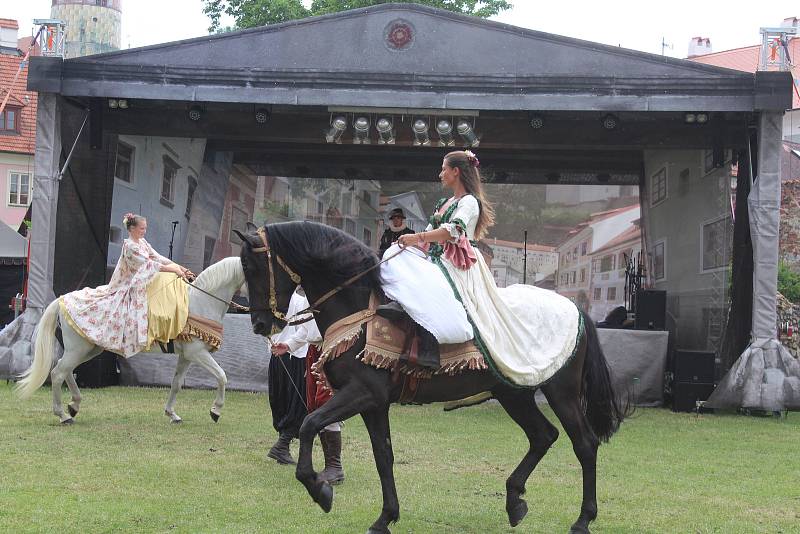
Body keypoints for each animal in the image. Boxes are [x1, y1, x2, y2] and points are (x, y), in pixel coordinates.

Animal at [16, 258, 247, 426]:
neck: (201, 302)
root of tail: (62, 299)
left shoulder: (186, 356)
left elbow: (176, 384)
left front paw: (172, 414)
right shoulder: (197, 353)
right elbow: (222, 376)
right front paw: (215, 411)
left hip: (88, 349)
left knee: (66, 371)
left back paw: (74, 406)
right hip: (78, 349)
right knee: (58, 373)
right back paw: (63, 415)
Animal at [234, 222, 628, 534]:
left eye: (251, 266)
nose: (259, 324)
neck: (359, 306)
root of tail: (575, 308)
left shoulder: (361, 393)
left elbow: (309, 424)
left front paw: (320, 490)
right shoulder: (373, 402)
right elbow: (383, 455)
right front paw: (385, 518)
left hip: (561, 392)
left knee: (584, 444)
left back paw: (583, 519)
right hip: (513, 393)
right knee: (543, 436)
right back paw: (515, 502)